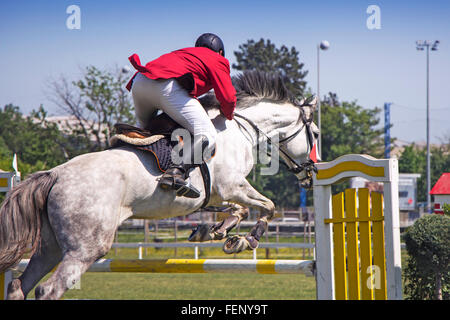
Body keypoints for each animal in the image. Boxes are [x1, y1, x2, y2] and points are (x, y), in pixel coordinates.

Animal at [0, 70, 318, 300]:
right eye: (314, 134)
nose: (311, 173)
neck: (238, 127)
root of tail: (54, 175)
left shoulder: (217, 194)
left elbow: (239, 211)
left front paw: (214, 231)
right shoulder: (233, 187)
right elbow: (268, 206)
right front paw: (245, 240)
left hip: (50, 246)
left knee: (19, 286)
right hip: (85, 248)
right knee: (48, 289)